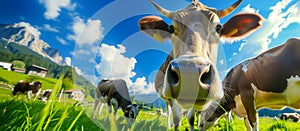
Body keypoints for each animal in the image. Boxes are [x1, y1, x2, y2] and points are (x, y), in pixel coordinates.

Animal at [139, 0, 262, 130]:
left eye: (218, 27)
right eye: (171, 28)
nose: (189, 74)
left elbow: (191, 118)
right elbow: (177, 118)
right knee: (169, 112)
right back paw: (168, 125)